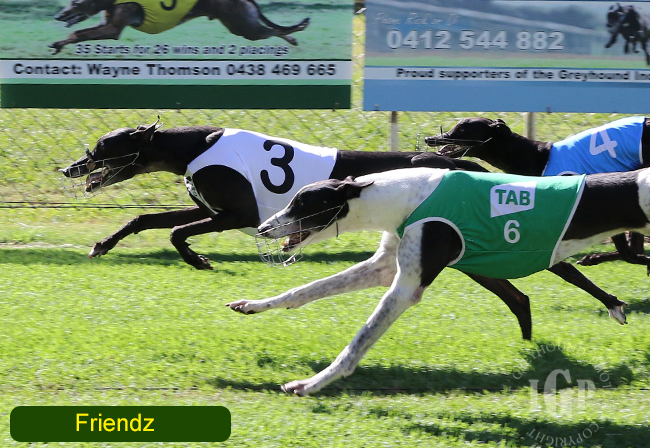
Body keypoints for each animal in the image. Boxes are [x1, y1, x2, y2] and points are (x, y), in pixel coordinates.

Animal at [61, 119, 624, 340]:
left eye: (102, 147)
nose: (69, 168)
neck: (196, 145)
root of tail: (463, 165)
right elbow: (145, 219)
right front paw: (102, 244)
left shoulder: (236, 216)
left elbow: (176, 232)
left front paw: (198, 259)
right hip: (467, 251)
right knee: (517, 292)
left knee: (561, 268)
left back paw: (611, 303)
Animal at [234, 167, 648, 395]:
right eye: (293, 200)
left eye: (303, 203)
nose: (263, 229)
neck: (403, 195)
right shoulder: (384, 266)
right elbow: (305, 291)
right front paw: (254, 305)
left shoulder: (405, 287)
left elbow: (357, 343)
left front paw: (309, 383)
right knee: (528, 297)